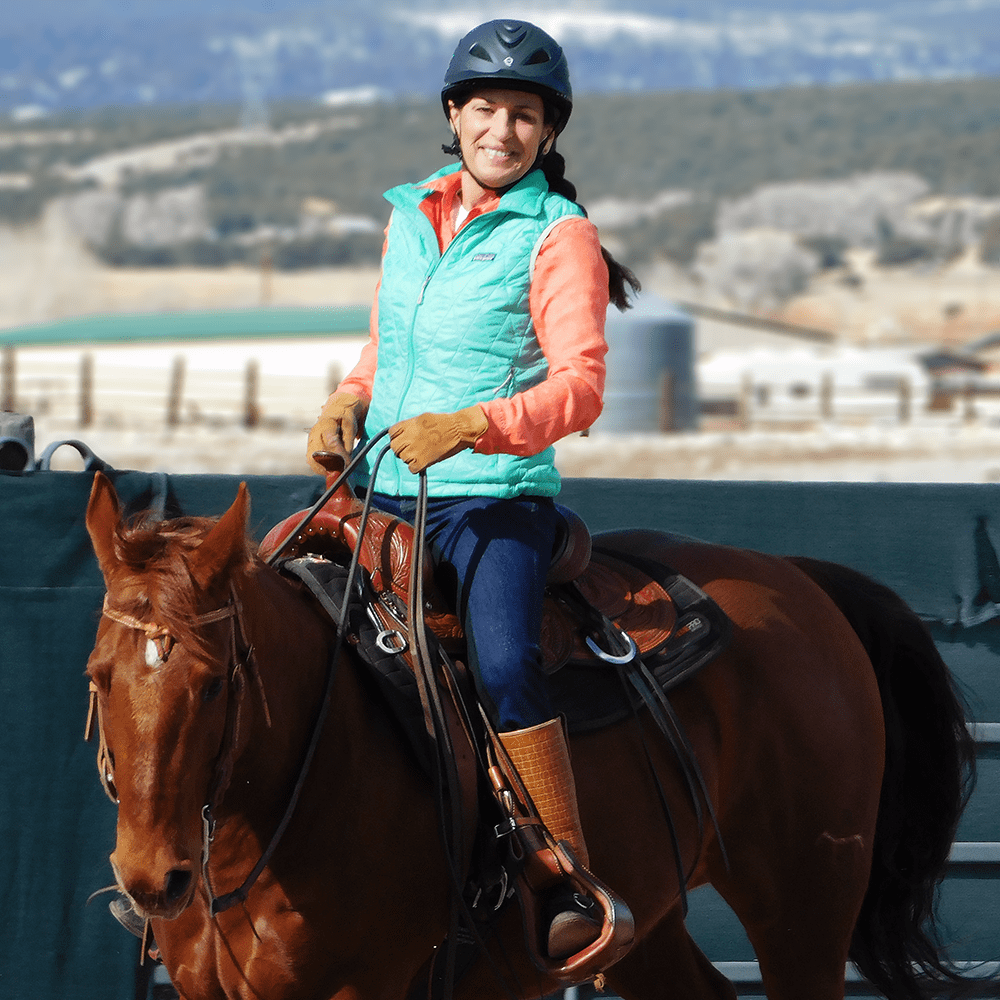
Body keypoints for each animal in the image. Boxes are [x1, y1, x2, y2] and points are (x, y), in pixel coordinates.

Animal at [82, 472, 972, 1000]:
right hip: (653, 919)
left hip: (805, 900)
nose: (152, 878)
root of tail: (800, 578)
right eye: (98, 676)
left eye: (216, 681)